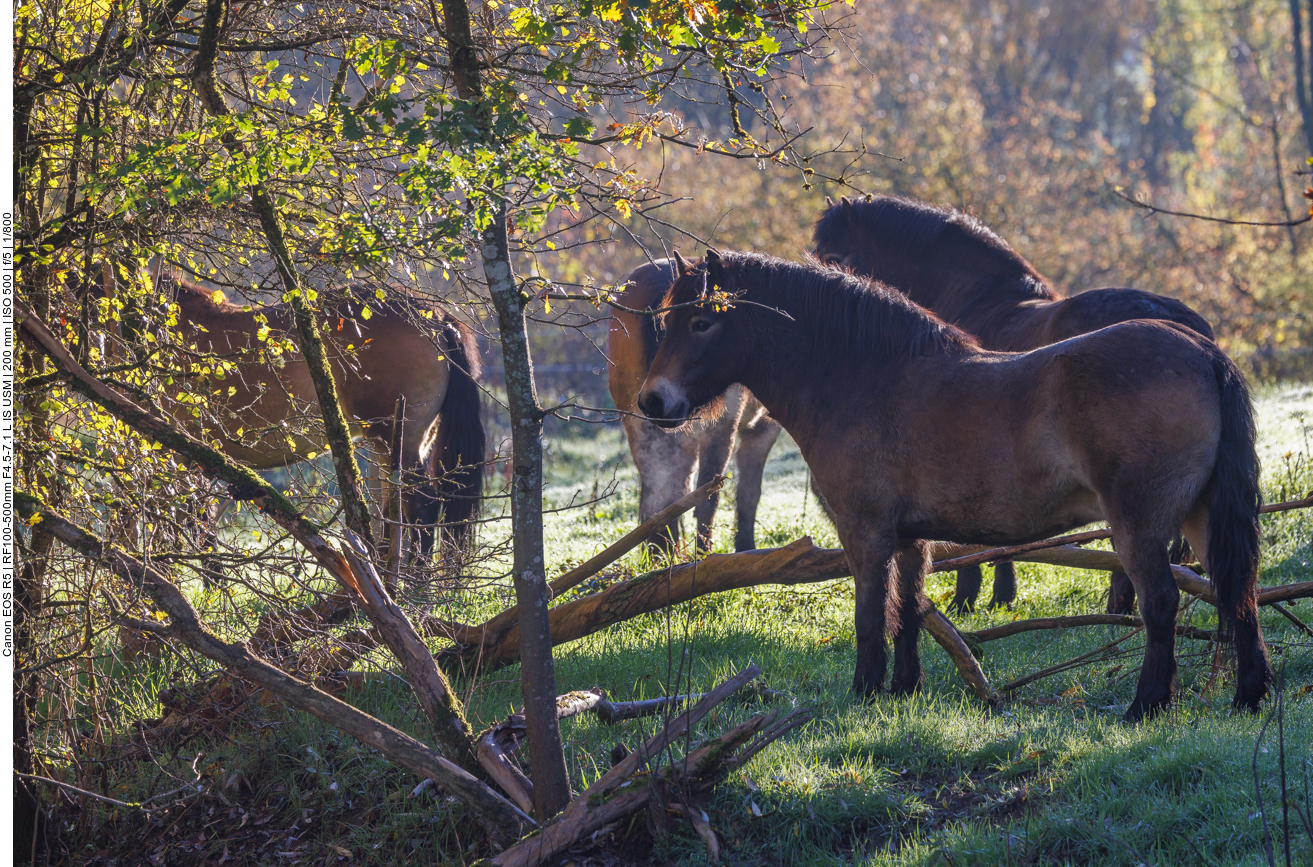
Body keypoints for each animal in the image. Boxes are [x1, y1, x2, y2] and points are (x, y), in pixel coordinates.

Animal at [606, 261, 777, 551]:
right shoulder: (761, 429)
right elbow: (748, 491)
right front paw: (745, 545)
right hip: (717, 430)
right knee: (703, 495)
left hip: (641, 427)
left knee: (661, 492)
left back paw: (662, 552)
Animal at [638, 252, 1270, 725]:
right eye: (667, 320)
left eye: (702, 322)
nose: (653, 401)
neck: (865, 378)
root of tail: (1203, 352)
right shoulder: (909, 539)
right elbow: (910, 610)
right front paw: (903, 690)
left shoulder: (866, 533)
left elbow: (872, 615)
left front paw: (864, 693)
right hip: (1202, 517)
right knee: (1238, 592)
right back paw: (1250, 695)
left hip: (1139, 525)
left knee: (1160, 602)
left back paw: (1145, 707)